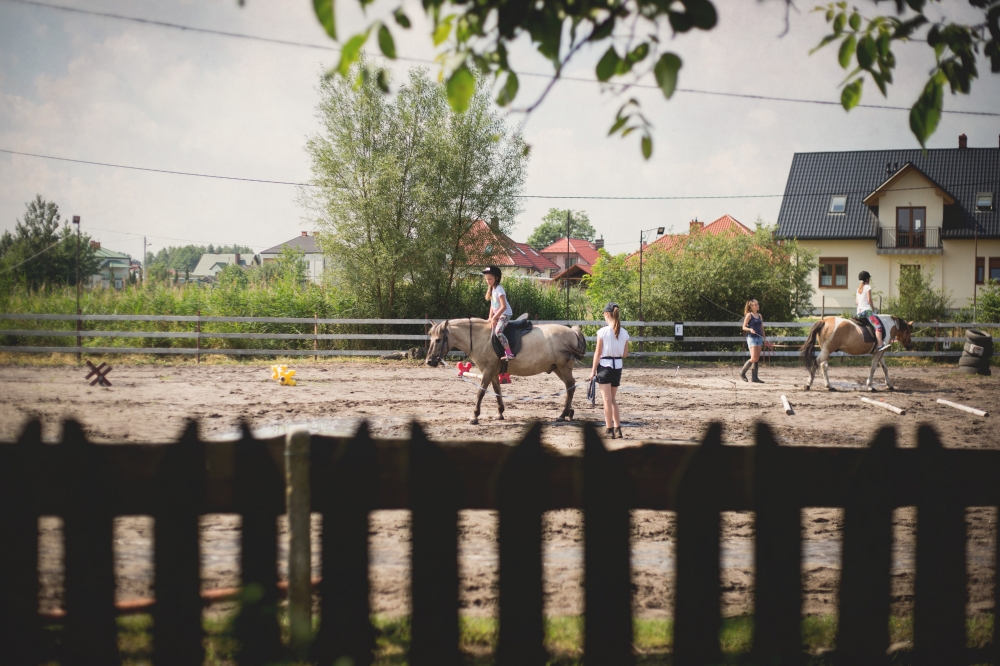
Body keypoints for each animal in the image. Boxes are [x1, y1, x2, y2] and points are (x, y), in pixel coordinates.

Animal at [425, 317, 586, 424]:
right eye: (431, 338)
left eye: (438, 340)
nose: (429, 361)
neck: (480, 338)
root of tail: (572, 331)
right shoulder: (493, 372)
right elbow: (497, 391)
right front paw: (500, 413)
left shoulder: (487, 370)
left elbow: (481, 392)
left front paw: (475, 416)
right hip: (558, 368)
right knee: (570, 385)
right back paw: (568, 412)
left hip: (563, 367)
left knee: (570, 386)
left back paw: (563, 414)